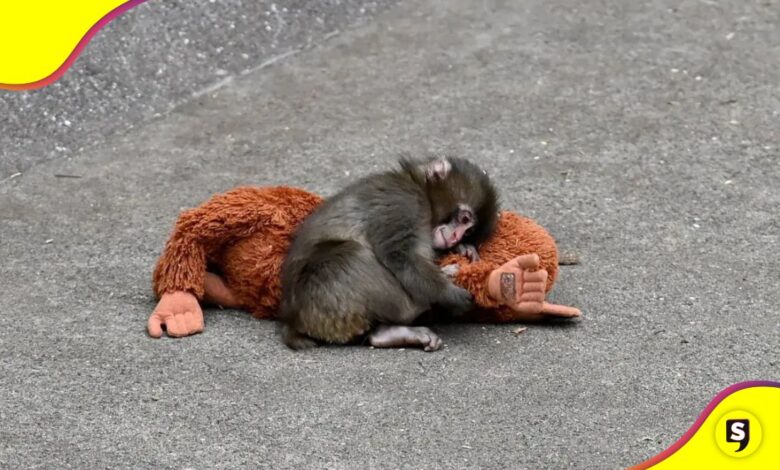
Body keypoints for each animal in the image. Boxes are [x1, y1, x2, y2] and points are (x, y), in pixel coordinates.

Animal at [279, 156, 499, 352]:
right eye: (464, 219)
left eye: (468, 231)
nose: (455, 237)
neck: (419, 188)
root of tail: (292, 320)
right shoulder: (404, 202)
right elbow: (399, 255)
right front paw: (449, 293)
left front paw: (463, 249)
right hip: (321, 297)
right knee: (351, 255)